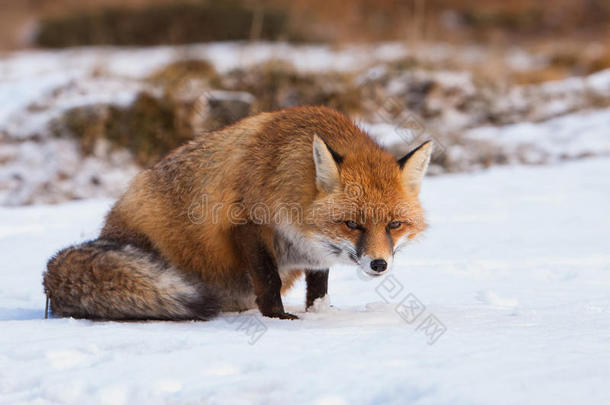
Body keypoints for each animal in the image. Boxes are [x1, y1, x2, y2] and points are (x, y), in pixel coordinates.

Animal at [42, 105, 430, 320]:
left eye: (395, 224)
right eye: (352, 224)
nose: (378, 265)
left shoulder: (313, 249)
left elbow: (318, 285)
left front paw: (320, 312)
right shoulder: (246, 224)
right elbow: (268, 280)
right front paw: (279, 318)